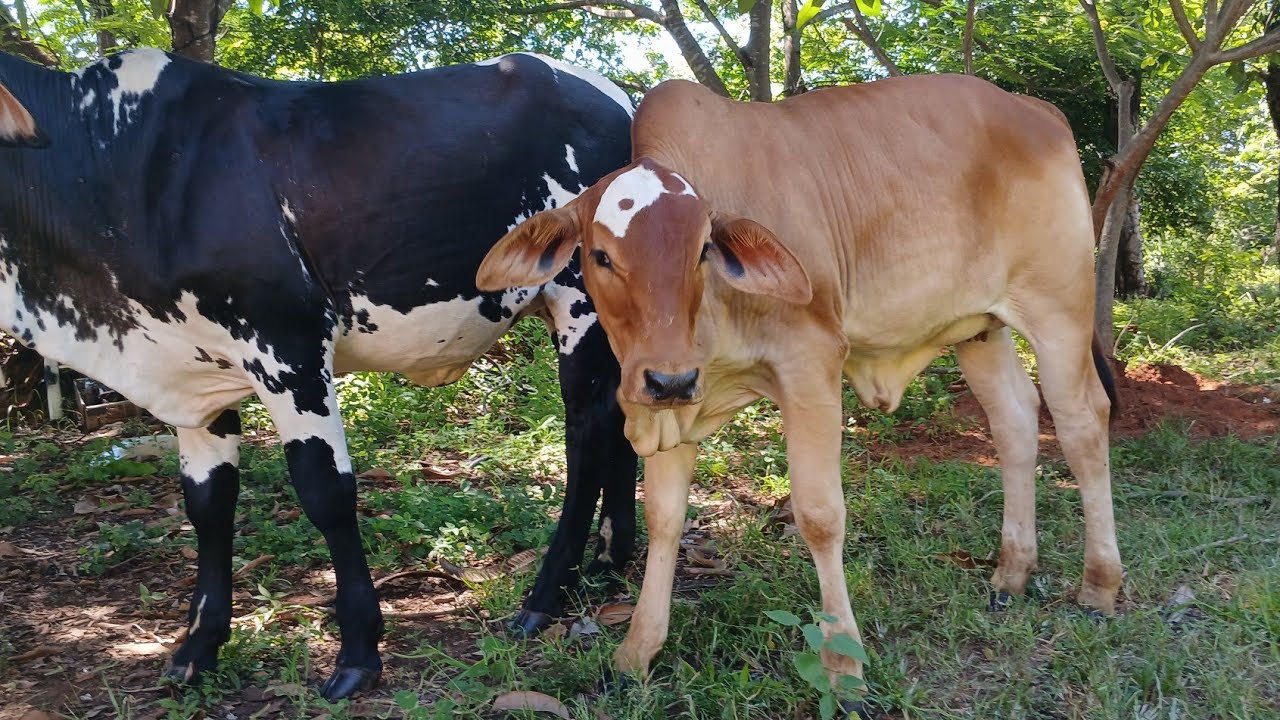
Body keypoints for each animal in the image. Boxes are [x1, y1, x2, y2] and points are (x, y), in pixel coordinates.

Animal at [0, 49, 639, 700]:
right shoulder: (196, 369)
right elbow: (207, 502)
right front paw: (197, 649)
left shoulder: (289, 345)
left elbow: (325, 491)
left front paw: (357, 650)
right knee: (622, 416)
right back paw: (609, 563)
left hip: (579, 301)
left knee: (587, 432)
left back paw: (547, 596)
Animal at [477, 76, 1124, 714]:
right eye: (601, 255)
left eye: (702, 251)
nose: (667, 379)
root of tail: (1035, 109)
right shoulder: (673, 401)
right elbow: (663, 516)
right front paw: (636, 651)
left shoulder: (809, 364)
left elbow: (819, 516)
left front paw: (844, 669)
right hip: (979, 328)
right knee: (1015, 421)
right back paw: (1011, 574)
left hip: (1060, 306)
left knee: (1082, 424)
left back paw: (1099, 585)